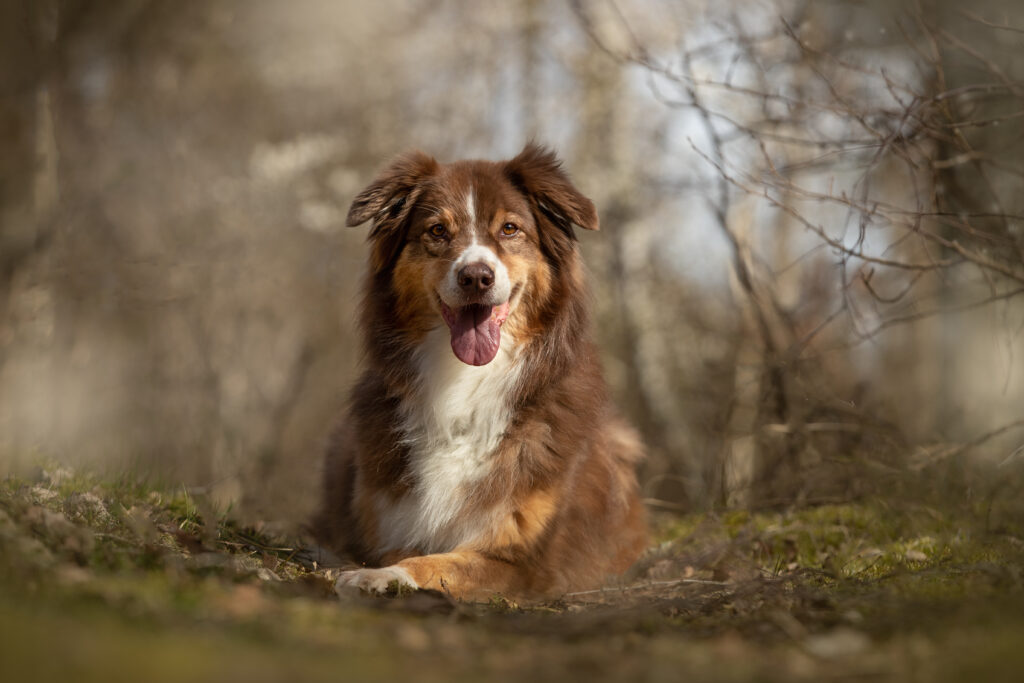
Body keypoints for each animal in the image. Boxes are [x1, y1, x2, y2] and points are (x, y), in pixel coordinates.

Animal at [313, 143, 647, 598]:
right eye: (437, 231)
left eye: (509, 229)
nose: (476, 277)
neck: (463, 382)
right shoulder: (384, 523)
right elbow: (397, 549)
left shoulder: (523, 563)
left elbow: (439, 562)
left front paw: (383, 576)